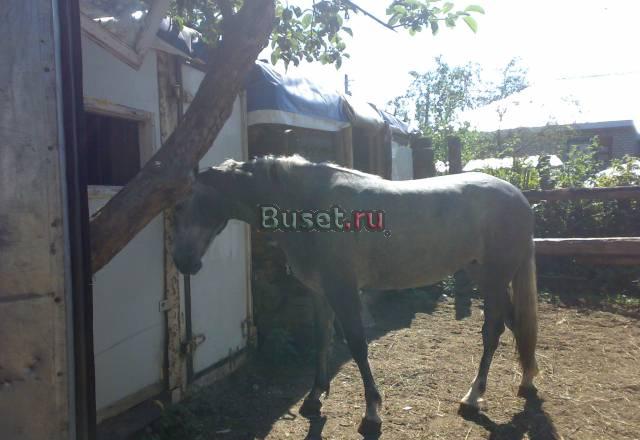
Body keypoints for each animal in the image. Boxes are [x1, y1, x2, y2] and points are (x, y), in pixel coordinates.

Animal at [172, 154, 539, 436]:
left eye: (192, 200)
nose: (182, 261)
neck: (311, 207)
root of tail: (518, 196)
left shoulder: (344, 290)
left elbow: (357, 345)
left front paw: (372, 412)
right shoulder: (319, 292)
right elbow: (322, 340)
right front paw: (314, 397)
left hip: (494, 278)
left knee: (493, 331)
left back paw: (473, 397)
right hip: (483, 275)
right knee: (515, 323)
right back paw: (527, 381)